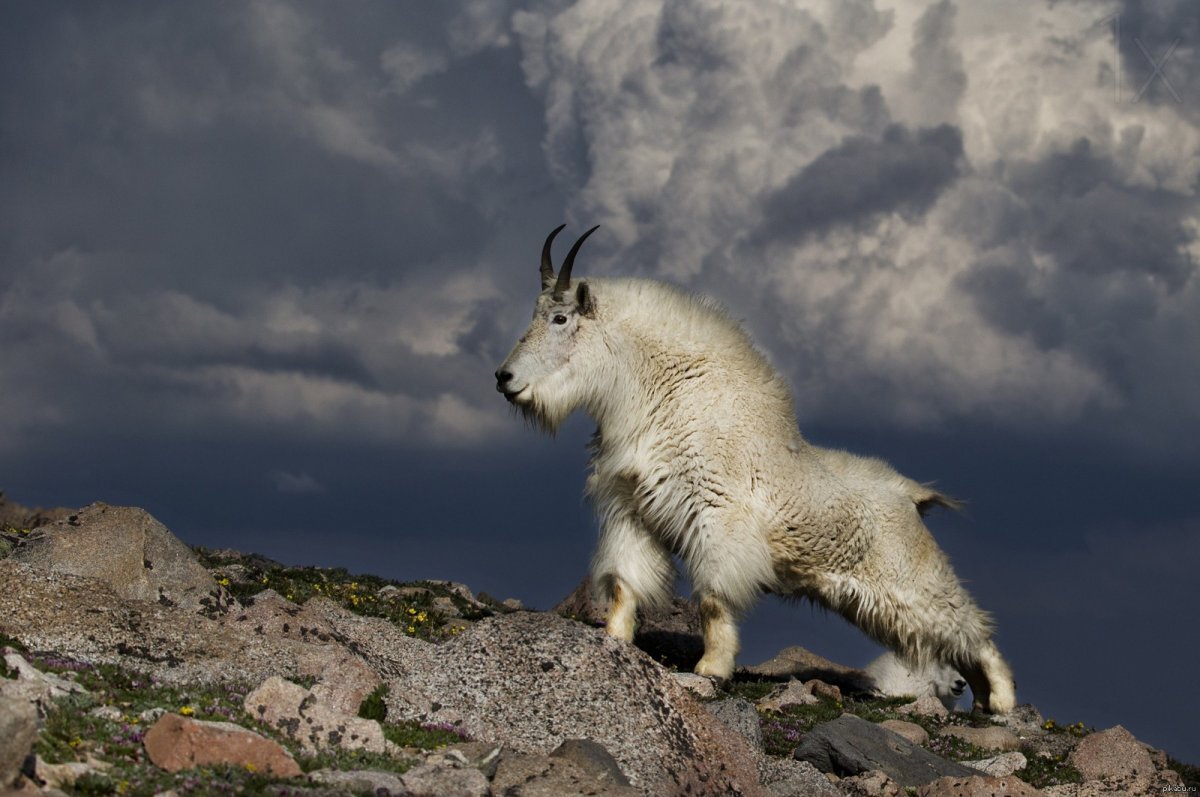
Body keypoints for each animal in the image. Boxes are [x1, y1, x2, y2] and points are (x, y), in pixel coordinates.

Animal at [494, 225, 1012, 715]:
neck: (665, 392)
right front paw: (615, 640)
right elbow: (625, 582)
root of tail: (911, 495)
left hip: (909, 581)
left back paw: (1001, 701)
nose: (504, 378)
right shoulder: (631, 510)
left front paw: (711, 668)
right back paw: (981, 701)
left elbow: (713, 599)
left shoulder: (717, 519)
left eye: (560, 318)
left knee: (973, 630)